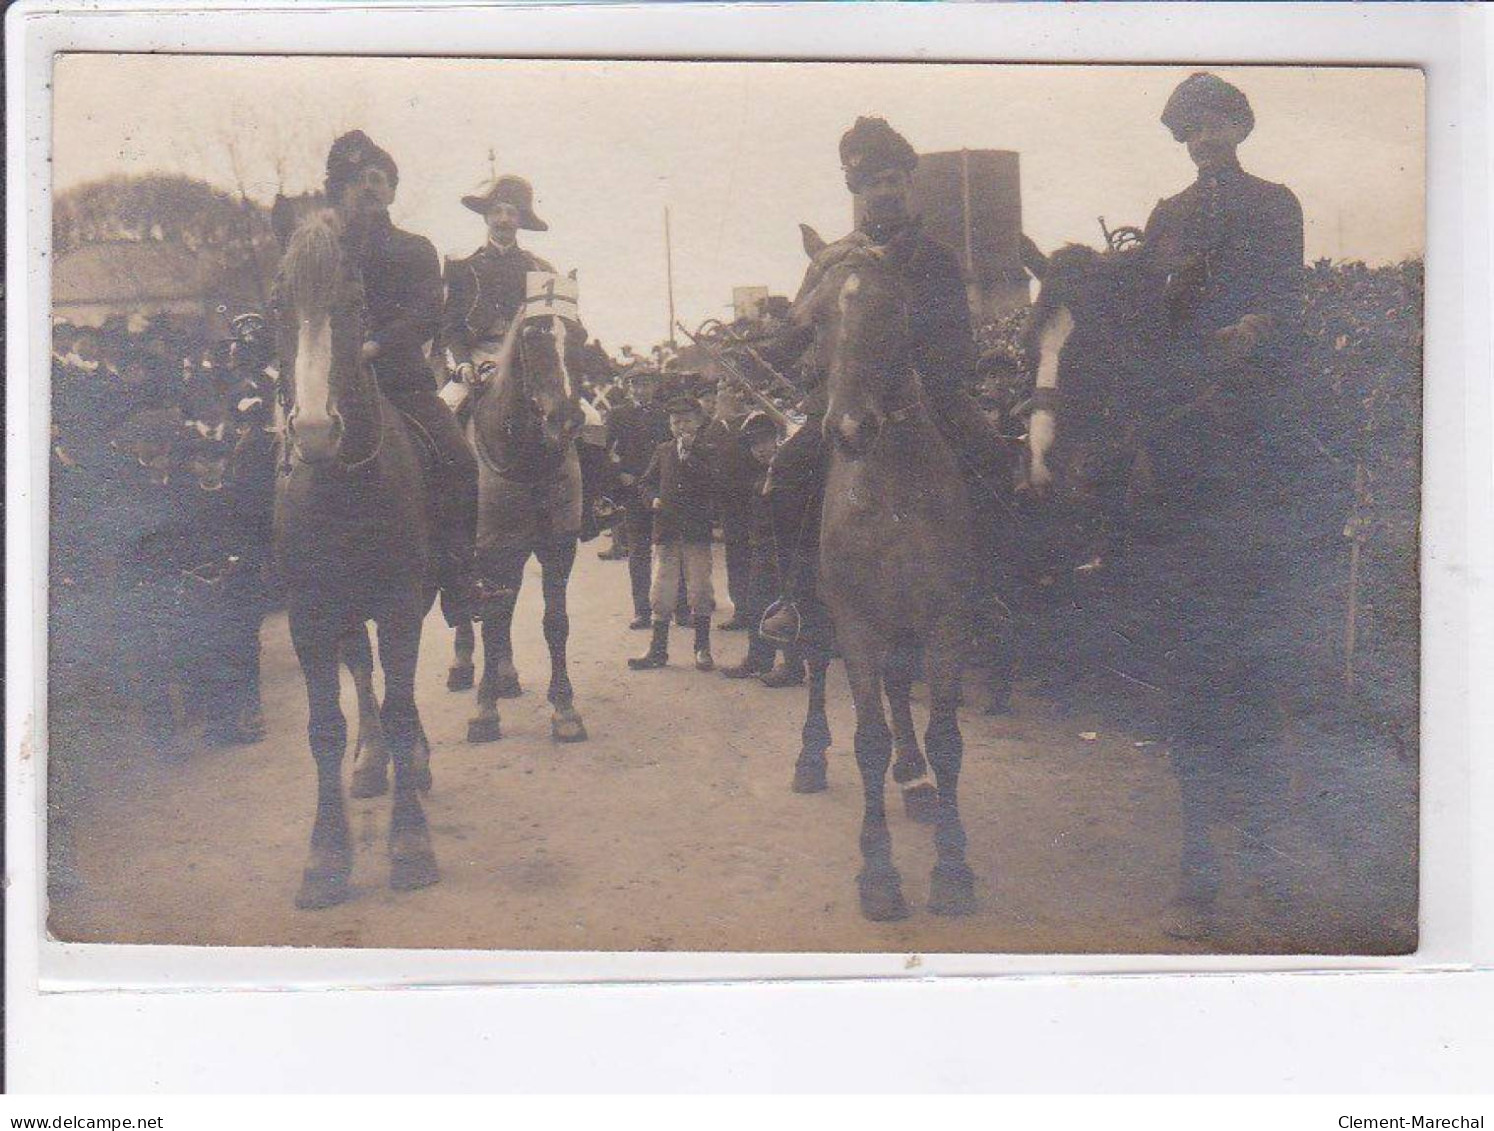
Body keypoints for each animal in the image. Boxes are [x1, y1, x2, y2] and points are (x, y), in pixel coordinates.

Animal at [463, 301, 591, 741]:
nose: (565, 420)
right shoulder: (489, 550)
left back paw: (505, 675)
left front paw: (565, 707)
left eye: (580, 337)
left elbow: (556, 622)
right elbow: (489, 622)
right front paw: (484, 711)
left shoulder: (558, 549)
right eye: (531, 338)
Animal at [788, 230, 986, 920]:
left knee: (902, 690)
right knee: (814, 664)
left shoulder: (946, 619)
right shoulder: (856, 624)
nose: (849, 429)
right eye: (813, 320)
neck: (891, 489)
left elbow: (946, 736)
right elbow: (867, 738)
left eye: (894, 313)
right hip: (820, 610)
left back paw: (914, 774)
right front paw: (877, 872)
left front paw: (952, 867)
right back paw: (809, 757)